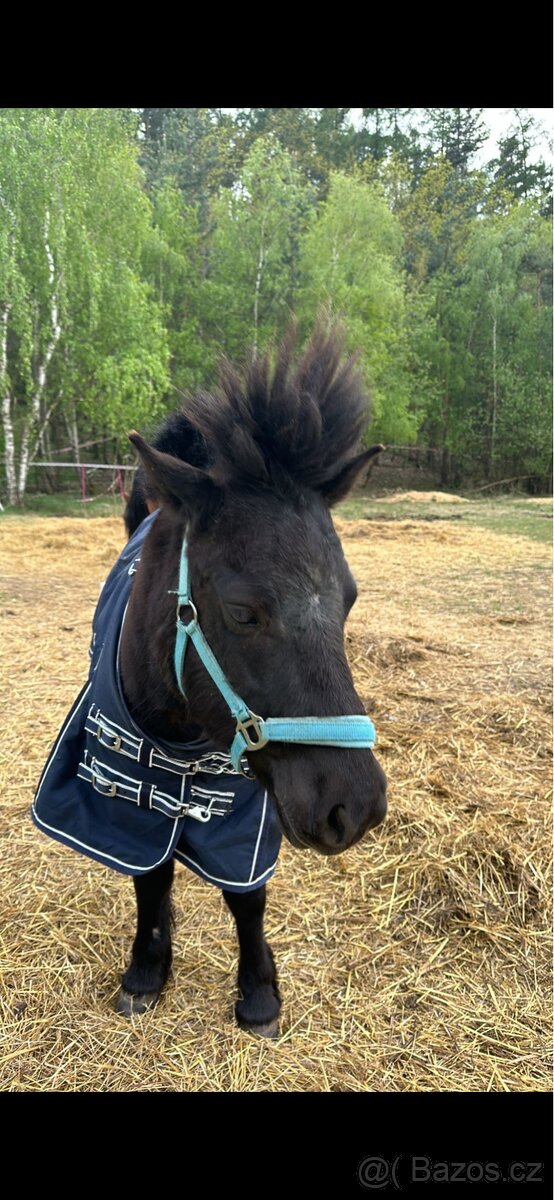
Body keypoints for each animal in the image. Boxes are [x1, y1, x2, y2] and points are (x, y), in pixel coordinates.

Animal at [32, 324, 387, 1038]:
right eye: (244, 611)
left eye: (350, 600)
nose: (355, 807)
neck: (183, 729)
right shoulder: (129, 795)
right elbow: (151, 876)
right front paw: (148, 968)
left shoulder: (246, 808)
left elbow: (246, 897)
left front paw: (258, 992)